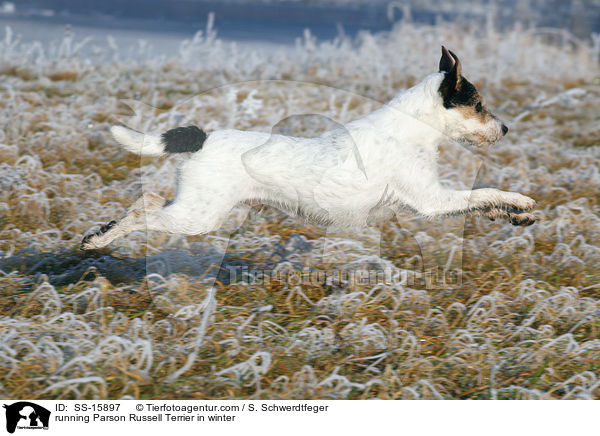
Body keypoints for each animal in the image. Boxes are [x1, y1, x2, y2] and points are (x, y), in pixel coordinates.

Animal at [82, 46, 536, 250]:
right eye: (479, 105)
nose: (506, 128)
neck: (412, 126)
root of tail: (204, 137)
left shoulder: (435, 200)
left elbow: (483, 203)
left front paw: (513, 215)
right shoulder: (431, 200)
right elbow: (483, 192)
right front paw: (519, 200)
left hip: (194, 209)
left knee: (146, 202)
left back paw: (100, 233)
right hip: (198, 216)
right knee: (144, 212)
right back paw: (100, 240)